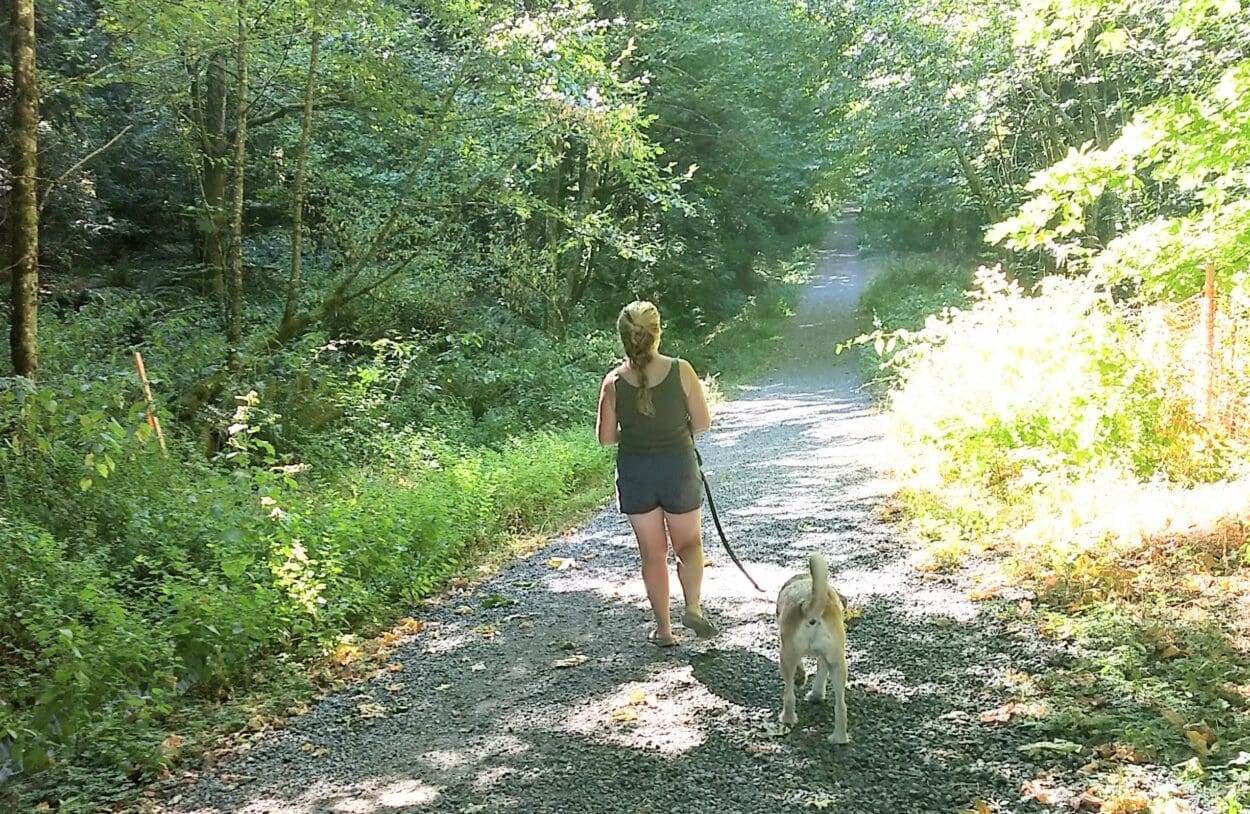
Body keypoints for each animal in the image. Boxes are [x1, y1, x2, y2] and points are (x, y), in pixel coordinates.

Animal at [770, 555, 850, 745]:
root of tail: (809, 604)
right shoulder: (825, 658)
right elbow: (821, 675)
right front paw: (816, 695)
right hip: (838, 664)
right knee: (840, 706)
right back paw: (839, 738)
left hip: (786, 657)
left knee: (789, 695)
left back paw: (788, 719)